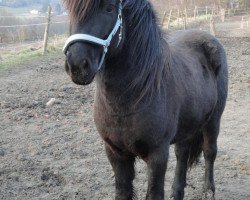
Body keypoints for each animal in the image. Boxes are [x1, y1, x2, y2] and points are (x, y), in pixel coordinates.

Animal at [62, 0, 227, 199]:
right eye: (71, 12)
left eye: (109, 9)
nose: (77, 66)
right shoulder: (115, 153)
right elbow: (123, 192)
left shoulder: (157, 154)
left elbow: (154, 193)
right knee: (182, 154)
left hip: (213, 119)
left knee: (209, 152)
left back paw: (208, 191)